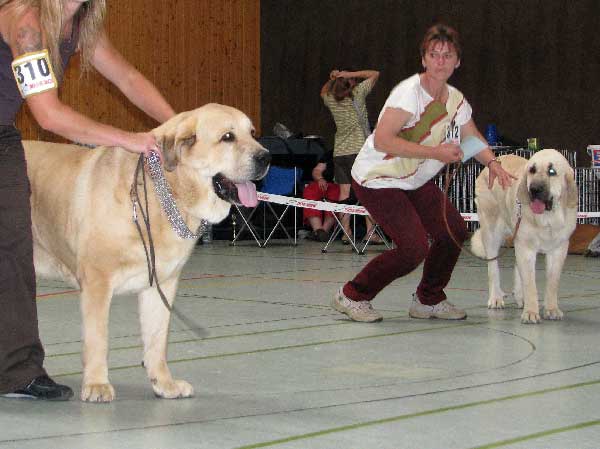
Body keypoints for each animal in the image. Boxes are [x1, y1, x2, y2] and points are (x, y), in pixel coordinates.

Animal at [24, 103, 270, 400]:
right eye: (227, 137)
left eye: (252, 133)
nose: (266, 157)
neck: (162, 192)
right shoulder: (97, 282)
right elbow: (98, 338)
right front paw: (97, 384)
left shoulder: (161, 283)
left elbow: (157, 340)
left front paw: (164, 383)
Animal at [472, 150, 580, 322]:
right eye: (532, 170)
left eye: (552, 171)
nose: (534, 189)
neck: (547, 219)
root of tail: (495, 161)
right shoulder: (526, 248)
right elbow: (530, 283)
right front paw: (530, 313)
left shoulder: (558, 250)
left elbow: (552, 282)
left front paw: (551, 309)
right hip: (491, 231)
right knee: (493, 267)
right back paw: (496, 298)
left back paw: (519, 297)